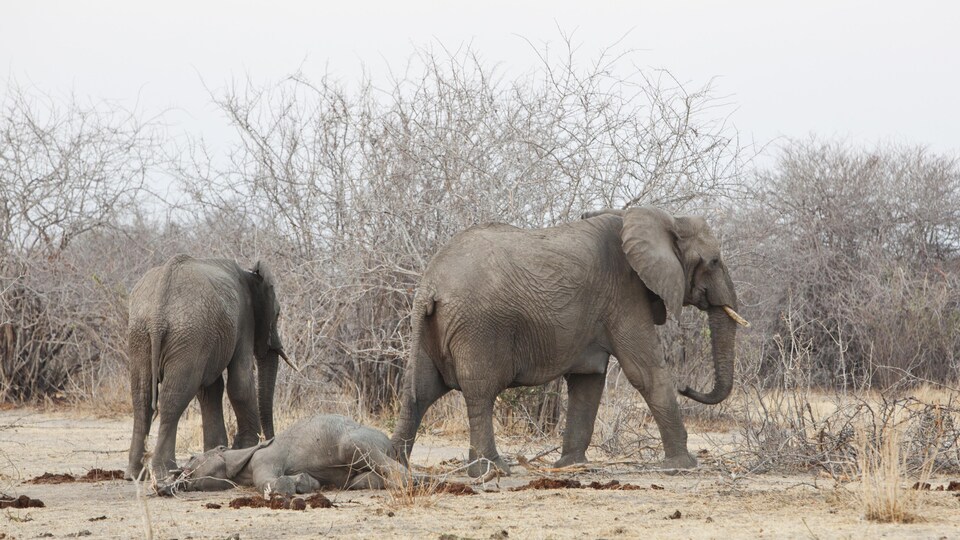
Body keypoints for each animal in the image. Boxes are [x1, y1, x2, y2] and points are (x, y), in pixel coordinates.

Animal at [127, 254, 292, 480]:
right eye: (277, 314)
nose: (269, 441)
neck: (249, 274)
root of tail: (158, 314)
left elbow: (210, 389)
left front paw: (217, 450)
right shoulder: (243, 321)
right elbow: (240, 383)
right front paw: (242, 447)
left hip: (143, 334)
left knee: (141, 397)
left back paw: (135, 475)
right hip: (187, 334)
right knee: (174, 397)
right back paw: (166, 472)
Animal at [157, 414, 408, 498]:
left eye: (192, 458)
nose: (160, 488)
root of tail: (391, 445)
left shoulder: (264, 458)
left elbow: (270, 483)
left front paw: (304, 483)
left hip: (354, 441)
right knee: (361, 480)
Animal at [390, 207, 752, 476]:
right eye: (714, 261)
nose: (687, 387)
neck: (661, 219)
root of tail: (431, 285)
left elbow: (588, 381)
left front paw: (570, 465)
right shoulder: (626, 295)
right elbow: (646, 373)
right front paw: (684, 465)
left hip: (430, 326)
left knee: (418, 391)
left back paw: (392, 465)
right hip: (477, 326)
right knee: (480, 392)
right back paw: (491, 471)